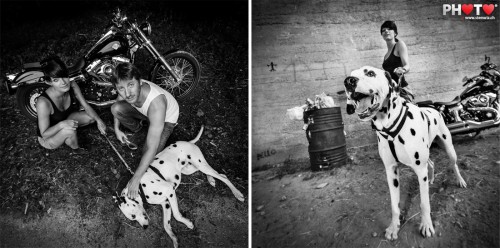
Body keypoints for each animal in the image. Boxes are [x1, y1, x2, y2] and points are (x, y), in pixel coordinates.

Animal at [114, 126, 246, 248]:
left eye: (133, 216)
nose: (145, 227)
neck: (141, 188)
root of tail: (188, 142)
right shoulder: (165, 203)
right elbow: (166, 225)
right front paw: (174, 239)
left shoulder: (170, 191)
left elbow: (177, 215)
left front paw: (188, 223)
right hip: (190, 169)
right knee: (216, 173)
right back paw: (211, 179)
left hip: (200, 164)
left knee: (223, 176)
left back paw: (237, 194)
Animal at [342, 66, 466, 240]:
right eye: (351, 74)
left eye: (370, 73)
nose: (348, 81)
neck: (389, 128)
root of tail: (433, 109)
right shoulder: (391, 172)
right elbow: (395, 205)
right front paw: (394, 227)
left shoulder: (419, 170)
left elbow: (424, 203)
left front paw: (426, 225)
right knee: (431, 163)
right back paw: (432, 178)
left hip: (448, 148)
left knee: (454, 164)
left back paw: (460, 180)